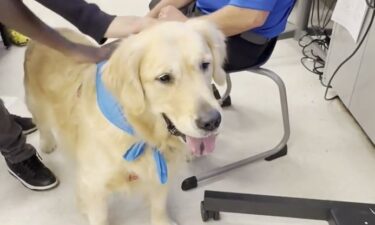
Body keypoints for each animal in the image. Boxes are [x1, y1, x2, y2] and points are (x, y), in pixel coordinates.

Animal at [25, 20, 228, 225]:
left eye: (205, 64)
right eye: (164, 78)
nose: (212, 122)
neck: (138, 132)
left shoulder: (159, 173)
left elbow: (159, 203)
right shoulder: (93, 185)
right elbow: (99, 217)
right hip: (36, 104)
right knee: (42, 124)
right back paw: (47, 143)